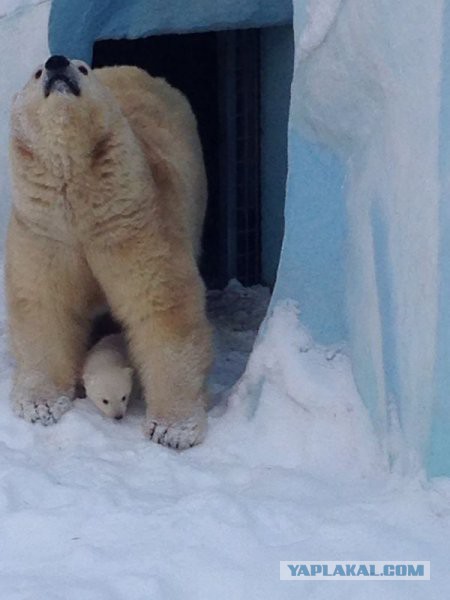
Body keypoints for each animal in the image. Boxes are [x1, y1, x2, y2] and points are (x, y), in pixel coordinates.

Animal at [6, 56, 212, 450]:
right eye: (37, 73)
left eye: (82, 68)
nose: (57, 63)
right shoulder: (46, 229)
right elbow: (44, 303)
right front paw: (40, 404)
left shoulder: (133, 221)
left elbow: (161, 306)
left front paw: (171, 429)